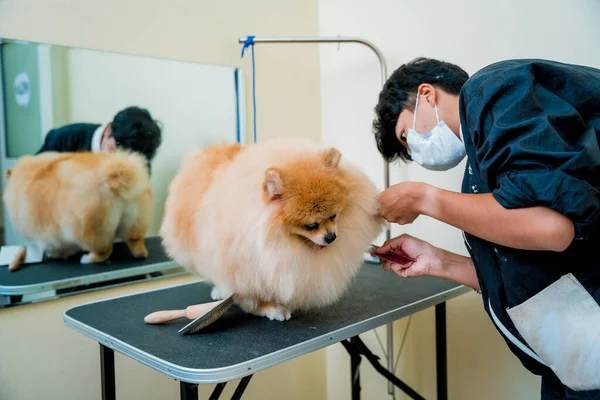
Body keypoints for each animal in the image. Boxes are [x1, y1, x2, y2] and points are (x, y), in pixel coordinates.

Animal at [3, 150, 154, 262]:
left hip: (91, 230)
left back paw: (88, 259)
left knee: (104, 250)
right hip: (135, 222)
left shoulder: (47, 233)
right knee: (135, 241)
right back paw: (141, 253)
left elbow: (55, 246)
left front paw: (56, 254)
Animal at [161, 139, 384, 320]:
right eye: (311, 225)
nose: (331, 237)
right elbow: (253, 293)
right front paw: (270, 308)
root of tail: (202, 153)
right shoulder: (247, 262)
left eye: (334, 216)